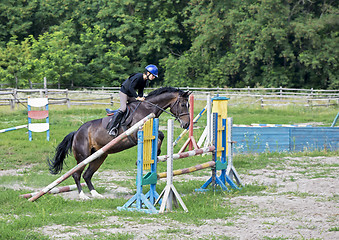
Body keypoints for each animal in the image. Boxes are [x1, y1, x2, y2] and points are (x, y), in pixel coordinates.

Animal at [47, 87, 191, 200]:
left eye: (188, 105)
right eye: (183, 105)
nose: (186, 124)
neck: (147, 108)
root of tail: (76, 132)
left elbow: (160, 135)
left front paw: (157, 153)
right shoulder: (135, 133)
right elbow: (160, 134)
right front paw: (154, 154)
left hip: (100, 156)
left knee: (87, 175)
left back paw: (96, 194)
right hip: (83, 156)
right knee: (77, 174)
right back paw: (83, 196)